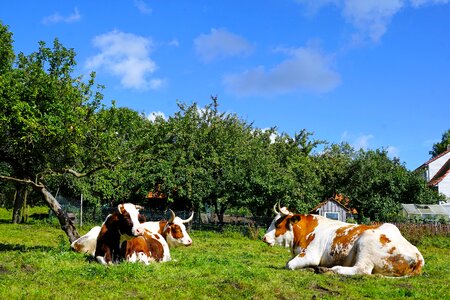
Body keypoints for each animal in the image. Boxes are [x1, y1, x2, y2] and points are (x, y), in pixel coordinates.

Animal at [262, 204, 424, 276]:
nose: (264, 237)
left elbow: (289, 264)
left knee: (362, 270)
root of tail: (418, 257)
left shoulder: (311, 255)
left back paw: (331, 269)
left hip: (366, 243)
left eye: (278, 224)